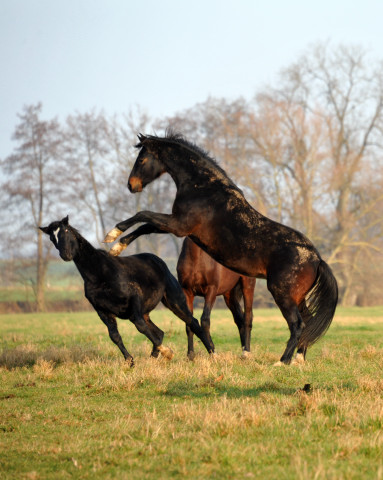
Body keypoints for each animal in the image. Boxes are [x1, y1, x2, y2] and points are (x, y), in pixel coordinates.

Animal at [40, 216, 214, 366]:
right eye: (52, 238)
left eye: (66, 231)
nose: (66, 255)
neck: (99, 273)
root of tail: (158, 261)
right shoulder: (102, 311)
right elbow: (114, 336)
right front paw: (130, 361)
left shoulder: (133, 301)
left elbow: (141, 327)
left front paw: (168, 352)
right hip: (147, 311)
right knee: (160, 332)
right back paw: (153, 359)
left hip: (174, 300)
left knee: (192, 323)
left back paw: (211, 352)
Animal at [103, 131, 338, 364]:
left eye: (142, 159)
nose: (131, 185)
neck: (203, 188)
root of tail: (316, 258)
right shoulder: (178, 227)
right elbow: (146, 225)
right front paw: (116, 247)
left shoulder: (179, 225)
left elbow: (143, 216)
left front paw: (111, 236)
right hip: (295, 296)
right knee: (307, 321)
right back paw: (299, 358)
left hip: (281, 294)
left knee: (297, 324)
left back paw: (282, 361)